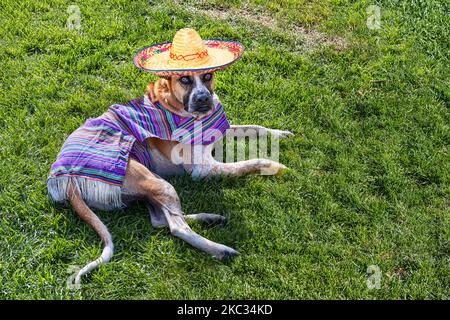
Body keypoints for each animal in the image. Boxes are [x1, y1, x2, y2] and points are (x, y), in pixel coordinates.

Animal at [59, 71, 292, 284]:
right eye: (185, 79)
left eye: (208, 76)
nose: (203, 99)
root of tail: (68, 181)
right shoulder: (204, 169)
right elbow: (249, 163)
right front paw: (272, 165)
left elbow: (254, 127)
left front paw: (279, 133)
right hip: (155, 182)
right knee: (177, 227)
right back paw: (221, 249)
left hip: (152, 181)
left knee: (160, 219)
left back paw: (210, 218)